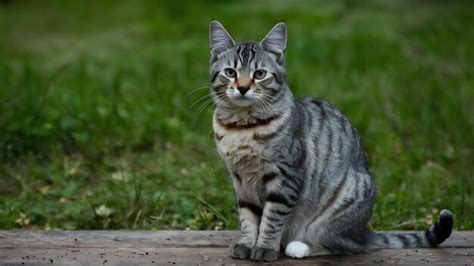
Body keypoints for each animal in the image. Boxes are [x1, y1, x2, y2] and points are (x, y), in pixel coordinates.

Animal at [209, 20, 454, 262]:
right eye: (230, 72)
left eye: (259, 74)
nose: (242, 87)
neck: (243, 128)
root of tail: (364, 232)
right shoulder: (241, 182)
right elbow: (248, 217)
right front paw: (246, 244)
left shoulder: (285, 178)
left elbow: (272, 219)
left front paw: (265, 248)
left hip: (338, 209)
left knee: (344, 245)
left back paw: (298, 247)